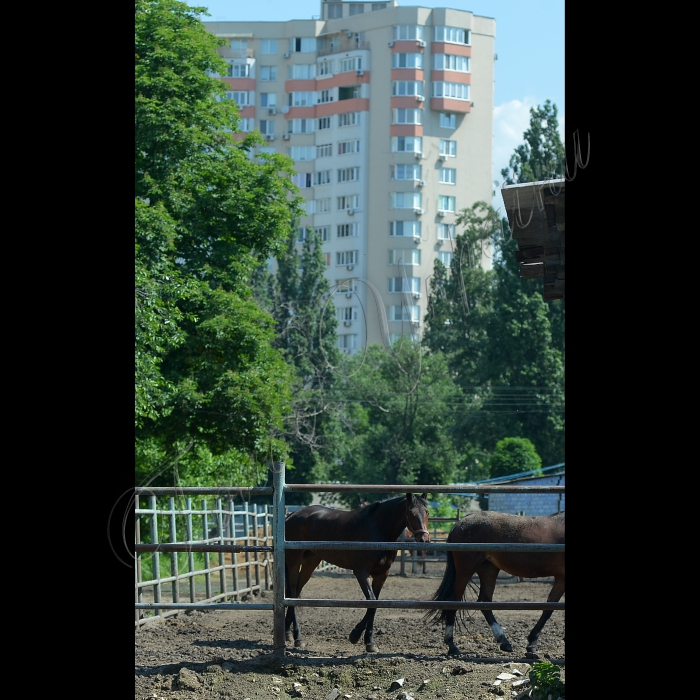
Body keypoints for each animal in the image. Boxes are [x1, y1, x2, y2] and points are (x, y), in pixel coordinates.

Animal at [286, 492, 430, 652]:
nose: (424, 538)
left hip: (310, 562)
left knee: (296, 591)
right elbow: (371, 601)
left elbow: (376, 604)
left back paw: (288, 633)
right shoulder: (361, 572)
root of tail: (292, 515)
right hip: (294, 560)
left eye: (427, 512)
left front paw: (370, 642)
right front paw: (355, 635)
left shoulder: (382, 574)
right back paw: (298, 637)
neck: (378, 528)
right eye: (411, 513)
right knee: (292, 591)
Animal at [424, 512, 568, 660]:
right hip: (466, 570)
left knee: (484, 602)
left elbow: (548, 608)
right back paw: (452, 646)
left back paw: (504, 641)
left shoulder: (561, 579)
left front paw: (532, 643)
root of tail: (459, 523)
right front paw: (532, 644)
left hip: (488, 569)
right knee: (453, 602)